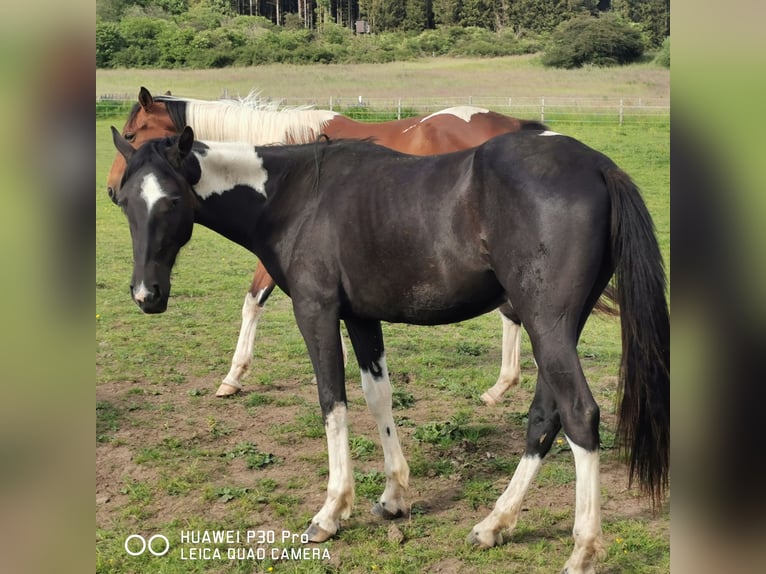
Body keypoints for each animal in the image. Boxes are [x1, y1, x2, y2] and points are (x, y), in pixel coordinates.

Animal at [110, 125, 669, 574]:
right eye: (124, 201)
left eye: (173, 201)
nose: (146, 295)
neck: (295, 196)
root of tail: (596, 165)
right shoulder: (361, 317)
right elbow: (377, 396)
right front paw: (395, 497)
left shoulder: (316, 312)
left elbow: (332, 402)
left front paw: (332, 511)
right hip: (556, 328)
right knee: (545, 416)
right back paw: (495, 522)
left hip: (546, 325)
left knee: (579, 414)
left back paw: (583, 550)